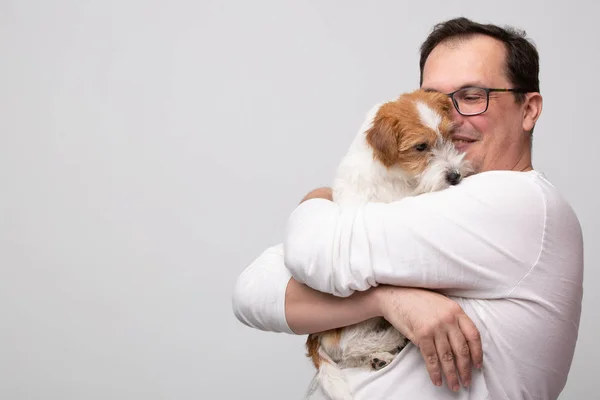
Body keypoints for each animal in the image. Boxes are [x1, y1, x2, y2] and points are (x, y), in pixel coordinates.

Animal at [304, 89, 474, 400]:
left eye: (449, 135)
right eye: (420, 147)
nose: (455, 176)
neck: (396, 174)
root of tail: (315, 335)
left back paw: (378, 356)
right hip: (360, 319)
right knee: (346, 345)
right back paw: (389, 341)